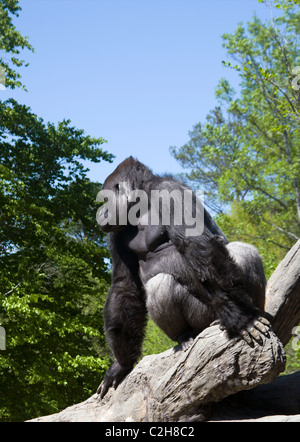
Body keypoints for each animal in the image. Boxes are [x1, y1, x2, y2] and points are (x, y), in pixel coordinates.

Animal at [96, 157, 270, 398]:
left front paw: (243, 319)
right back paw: (185, 335)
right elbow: (125, 285)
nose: (101, 212)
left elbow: (200, 247)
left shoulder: (170, 192)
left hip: (212, 314)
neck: (143, 201)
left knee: (242, 251)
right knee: (160, 284)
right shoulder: (117, 231)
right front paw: (120, 365)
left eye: (105, 200)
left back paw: (247, 313)